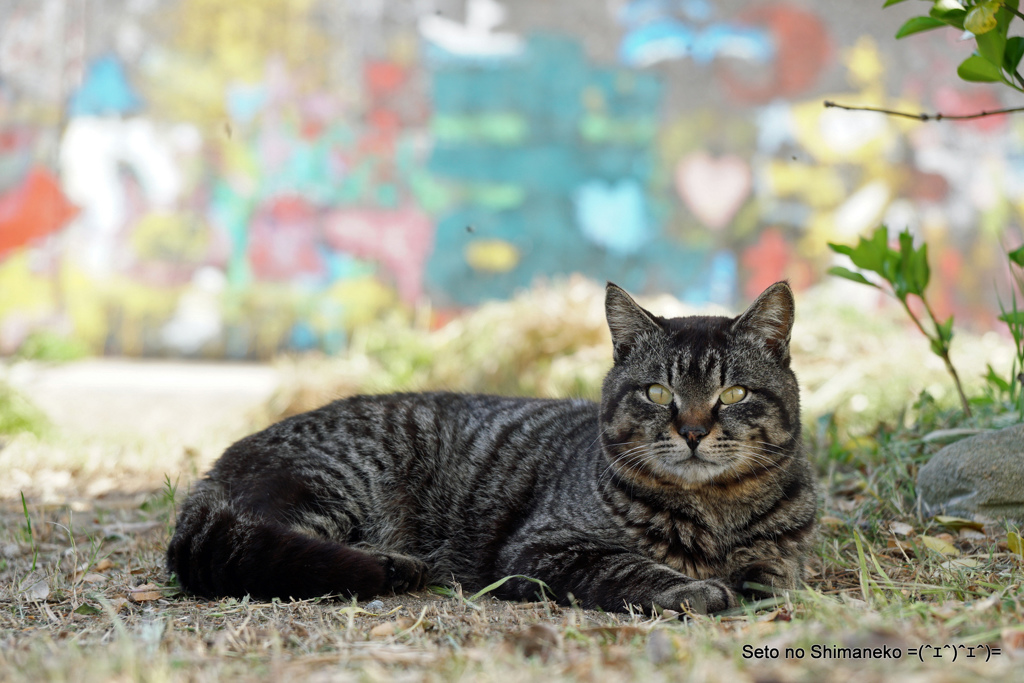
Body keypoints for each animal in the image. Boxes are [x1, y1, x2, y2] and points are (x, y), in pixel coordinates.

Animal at [172, 282, 819, 614]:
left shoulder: (785, 551)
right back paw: (394, 565)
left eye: (733, 394)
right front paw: (692, 588)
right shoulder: (544, 549)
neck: (715, 512)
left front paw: (751, 577)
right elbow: (632, 568)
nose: (691, 431)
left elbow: (774, 568)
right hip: (342, 485)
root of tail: (221, 465)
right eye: (658, 392)